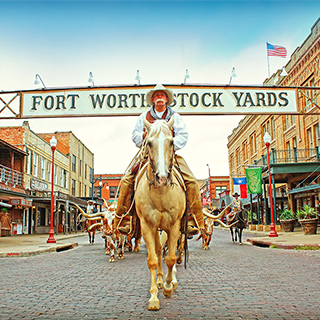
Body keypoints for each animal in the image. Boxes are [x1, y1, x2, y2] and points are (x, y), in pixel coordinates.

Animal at [134, 117, 186, 310]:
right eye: (149, 142)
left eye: (171, 142)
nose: (162, 177)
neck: (161, 192)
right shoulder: (147, 226)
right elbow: (153, 260)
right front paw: (154, 297)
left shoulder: (174, 225)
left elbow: (171, 258)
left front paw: (169, 286)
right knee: (158, 250)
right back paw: (159, 280)